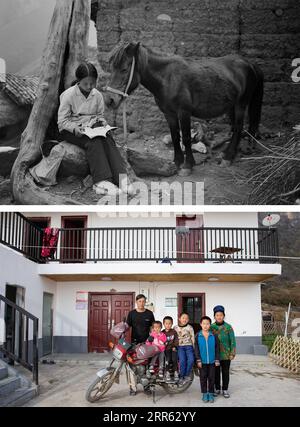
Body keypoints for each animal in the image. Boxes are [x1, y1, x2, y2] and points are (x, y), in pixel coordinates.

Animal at [104, 42, 264, 176]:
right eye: (112, 68)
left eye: (124, 69)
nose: (109, 100)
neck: (168, 78)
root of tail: (249, 63)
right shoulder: (169, 114)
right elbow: (175, 136)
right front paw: (177, 162)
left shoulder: (184, 112)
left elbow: (186, 137)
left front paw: (187, 166)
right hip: (231, 106)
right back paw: (226, 154)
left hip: (240, 104)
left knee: (238, 128)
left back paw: (228, 158)